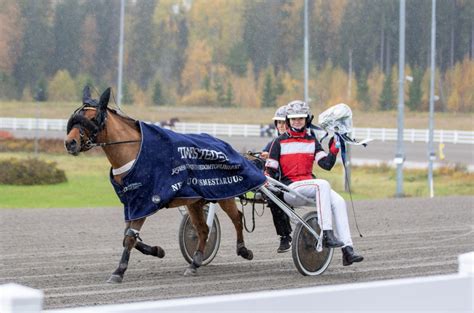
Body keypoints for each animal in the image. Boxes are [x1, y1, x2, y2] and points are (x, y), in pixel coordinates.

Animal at [65, 86, 254, 282]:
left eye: (93, 118)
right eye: (75, 118)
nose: (70, 143)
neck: (133, 153)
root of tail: (223, 143)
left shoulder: (145, 200)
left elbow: (129, 238)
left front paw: (118, 271)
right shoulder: (131, 203)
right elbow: (127, 236)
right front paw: (157, 250)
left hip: (224, 192)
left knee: (237, 217)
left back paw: (243, 249)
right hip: (195, 201)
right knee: (203, 229)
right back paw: (195, 263)